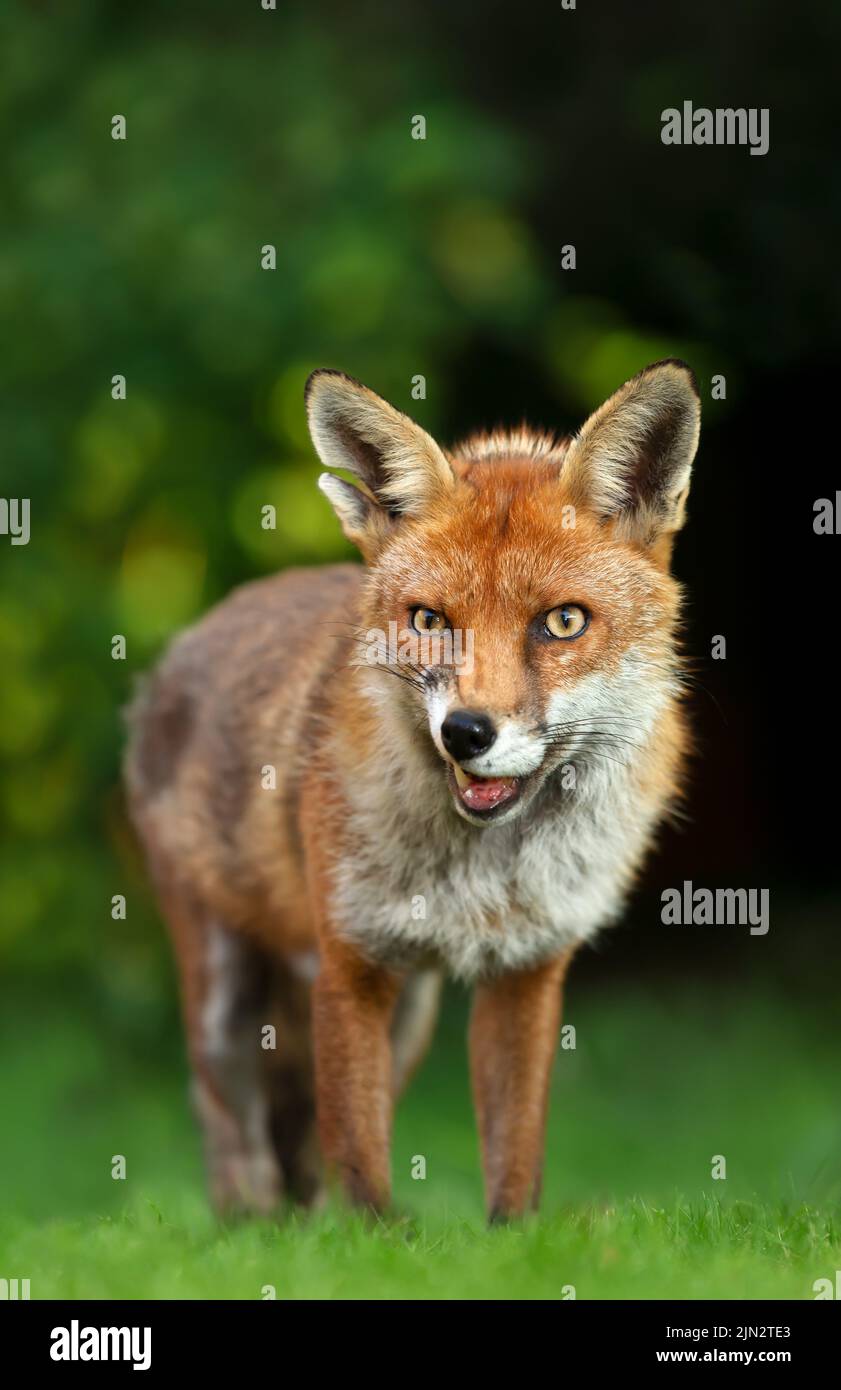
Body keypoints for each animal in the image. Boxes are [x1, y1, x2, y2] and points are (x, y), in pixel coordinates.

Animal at [124, 358, 700, 1222]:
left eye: (562, 622)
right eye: (429, 620)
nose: (466, 733)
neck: (485, 872)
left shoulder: (529, 969)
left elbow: (512, 1153)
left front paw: (512, 1240)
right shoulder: (350, 962)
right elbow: (357, 1154)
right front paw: (366, 1244)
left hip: (411, 1019)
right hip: (228, 997)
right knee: (238, 1142)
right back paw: (253, 1228)